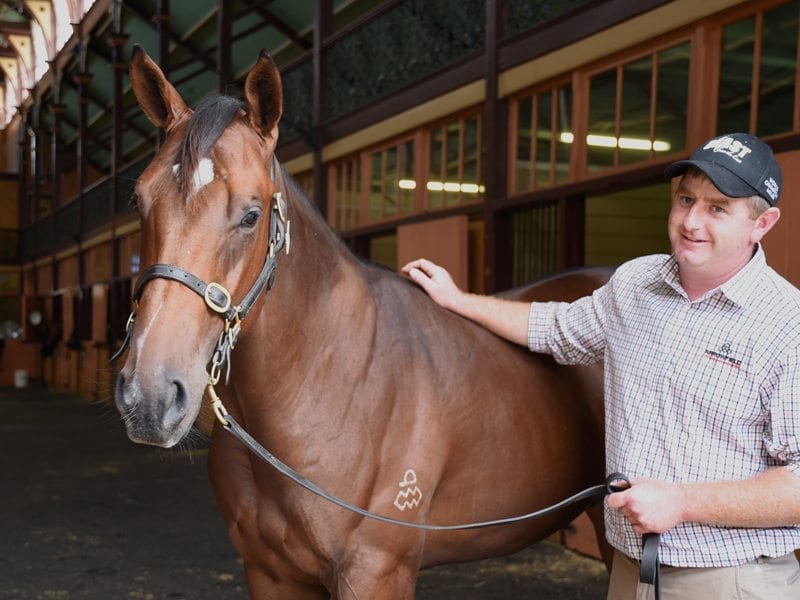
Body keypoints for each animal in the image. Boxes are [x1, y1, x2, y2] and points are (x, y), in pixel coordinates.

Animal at [114, 44, 612, 596]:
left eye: (251, 214)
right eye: (139, 200)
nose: (149, 397)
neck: (331, 382)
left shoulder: (376, 571)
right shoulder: (268, 572)